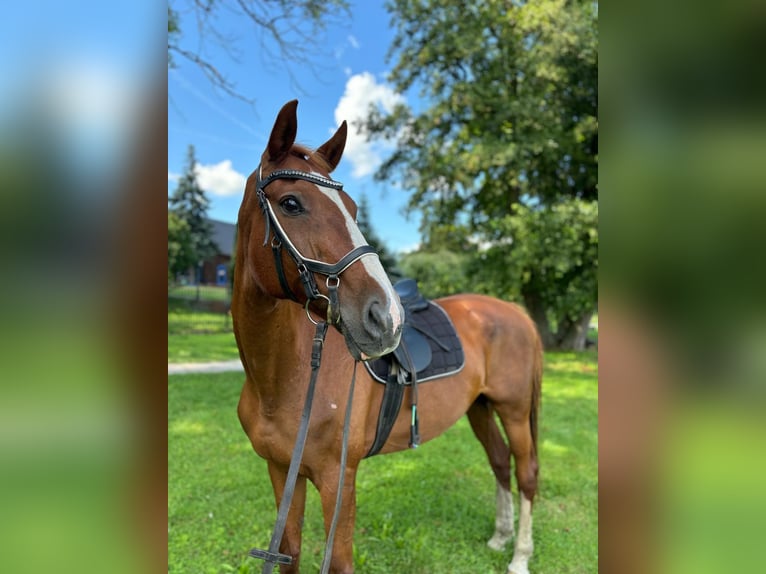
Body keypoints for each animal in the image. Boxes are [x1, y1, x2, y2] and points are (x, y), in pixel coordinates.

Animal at [231, 100, 544, 574]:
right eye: (291, 203)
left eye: (353, 209)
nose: (387, 317)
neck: (283, 376)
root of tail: (516, 313)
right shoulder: (282, 471)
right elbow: (290, 555)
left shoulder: (338, 479)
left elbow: (339, 563)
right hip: (481, 407)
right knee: (500, 462)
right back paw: (500, 537)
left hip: (513, 409)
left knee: (525, 473)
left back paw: (520, 556)